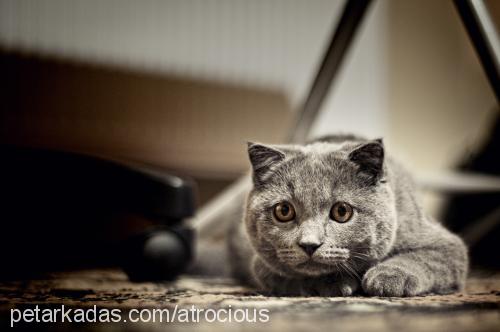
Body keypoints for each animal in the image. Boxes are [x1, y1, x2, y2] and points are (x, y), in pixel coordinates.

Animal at [228, 136, 468, 296]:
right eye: (284, 211)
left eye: (342, 211)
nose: (309, 244)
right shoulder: (262, 266)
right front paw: (333, 284)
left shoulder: (448, 245)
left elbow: (423, 257)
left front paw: (388, 277)